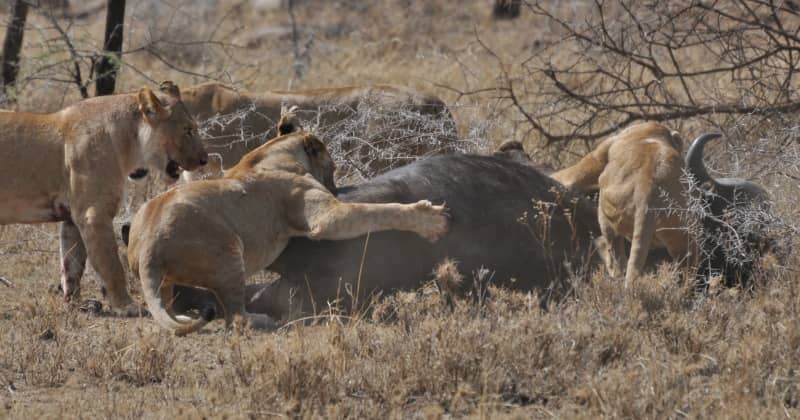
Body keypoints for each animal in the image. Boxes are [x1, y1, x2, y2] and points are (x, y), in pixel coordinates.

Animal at [0, 81, 208, 312]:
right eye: (188, 130)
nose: (204, 159)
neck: (128, 142)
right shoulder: (93, 213)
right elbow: (111, 265)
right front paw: (126, 306)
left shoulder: (72, 217)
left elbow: (72, 263)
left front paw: (75, 302)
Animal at [126, 130, 449, 336]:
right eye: (332, 167)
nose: (335, 187)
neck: (270, 153)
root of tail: (148, 247)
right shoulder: (326, 218)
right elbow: (379, 211)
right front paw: (429, 218)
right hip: (228, 252)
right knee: (236, 318)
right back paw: (262, 320)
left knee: (168, 300)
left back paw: (179, 316)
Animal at [551, 122, 692, 286]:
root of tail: (648, 191)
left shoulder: (599, 156)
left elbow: (571, 175)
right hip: (682, 230)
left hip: (607, 210)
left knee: (616, 260)